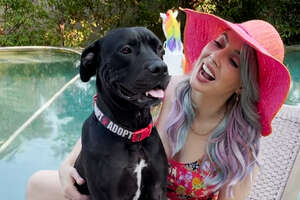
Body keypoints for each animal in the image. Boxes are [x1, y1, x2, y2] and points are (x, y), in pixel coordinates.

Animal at [74, 27, 170, 200]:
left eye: (161, 49)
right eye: (126, 50)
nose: (161, 68)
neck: (132, 134)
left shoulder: (157, 188)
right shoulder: (106, 194)